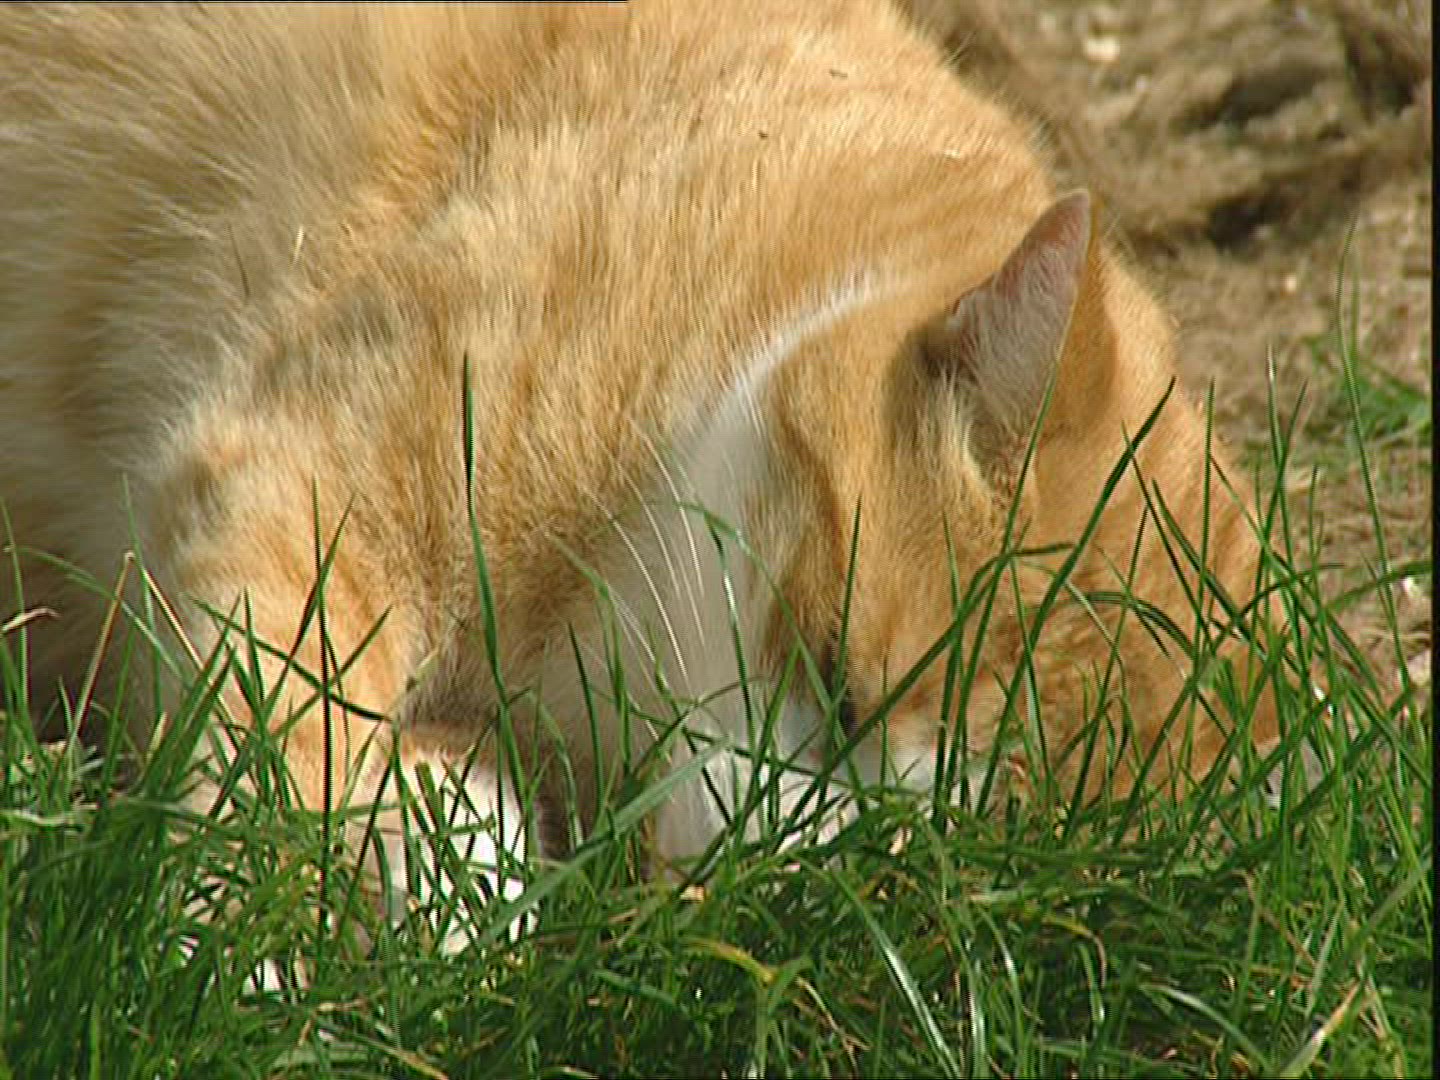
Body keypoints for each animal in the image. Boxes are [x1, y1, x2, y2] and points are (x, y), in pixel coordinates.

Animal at [0, 1, 1278, 944]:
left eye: (921, 864)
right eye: (837, 682)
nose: (754, 879)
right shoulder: (315, 489)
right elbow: (279, 742)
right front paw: (244, 953)